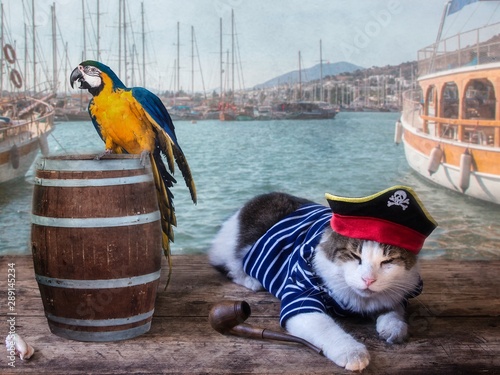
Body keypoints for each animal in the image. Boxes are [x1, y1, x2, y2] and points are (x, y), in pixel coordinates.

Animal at [209, 191, 436, 374]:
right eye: (354, 256)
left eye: (387, 262)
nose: (368, 279)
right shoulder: (300, 297)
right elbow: (326, 328)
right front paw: (352, 352)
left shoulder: (399, 291)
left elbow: (394, 309)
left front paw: (394, 328)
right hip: (233, 251)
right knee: (229, 267)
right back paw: (251, 280)